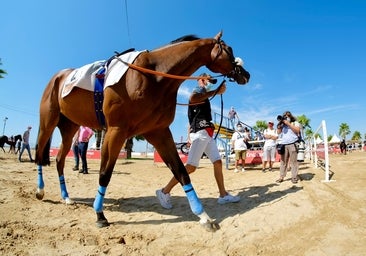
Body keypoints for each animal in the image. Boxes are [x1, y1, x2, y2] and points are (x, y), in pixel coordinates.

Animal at [35, 31, 250, 231]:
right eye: (229, 49)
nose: (245, 74)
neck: (153, 75)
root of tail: (58, 77)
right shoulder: (115, 131)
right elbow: (105, 173)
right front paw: (99, 214)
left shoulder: (158, 132)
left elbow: (181, 172)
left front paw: (203, 216)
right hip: (48, 122)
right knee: (39, 154)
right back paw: (40, 191)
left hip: (69, 127)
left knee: (59, 160)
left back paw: (66, 197)